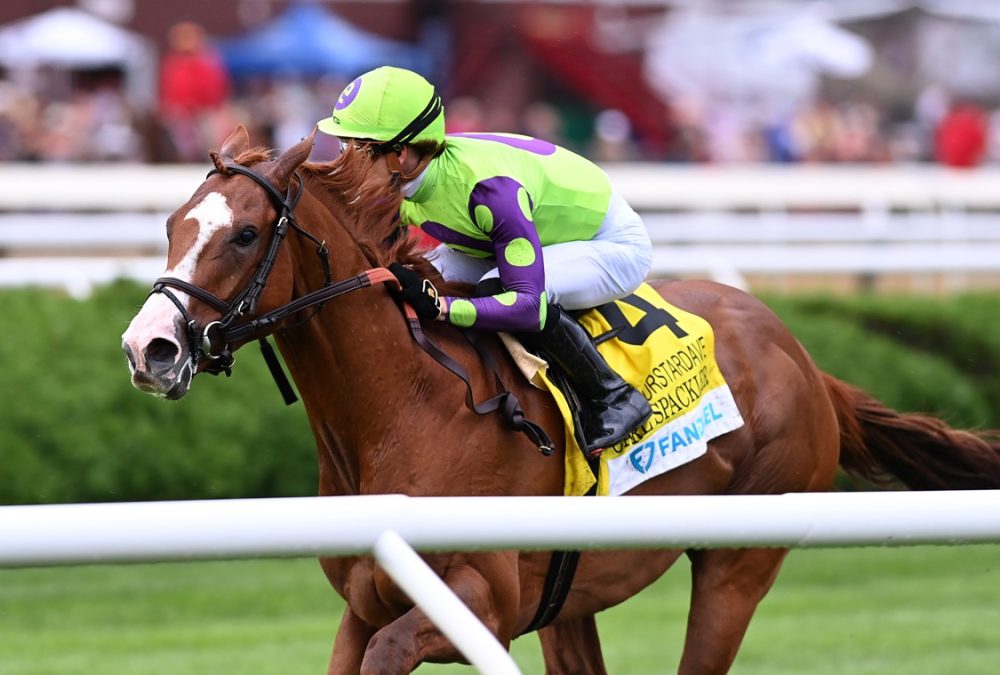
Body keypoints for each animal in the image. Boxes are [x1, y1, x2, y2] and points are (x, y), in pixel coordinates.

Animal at [121, 125, 996, 672]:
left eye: (243, 234)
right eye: (170, 224)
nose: (149, 347)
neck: (403, 406)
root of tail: (807, 362)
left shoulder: (481, 600)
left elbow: (390, 651)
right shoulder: (368, 598)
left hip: (738, 566)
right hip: (573, 594)